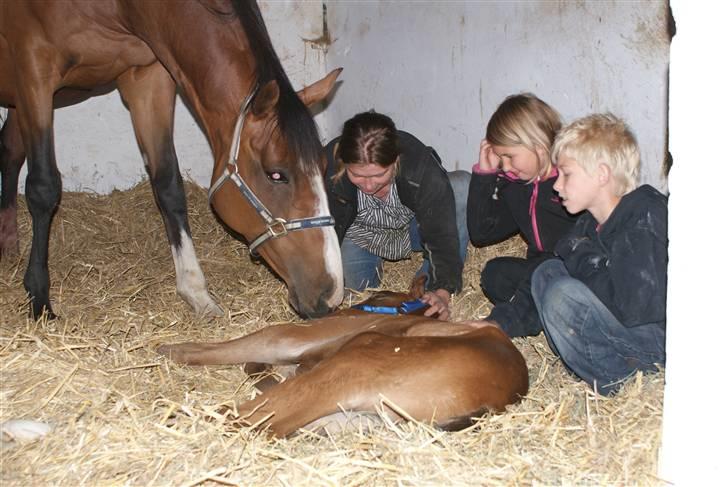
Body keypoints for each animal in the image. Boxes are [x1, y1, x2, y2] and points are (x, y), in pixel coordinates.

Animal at [0, 0, 342, 320]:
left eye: (324, 169)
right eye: (276, 174)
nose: (330, 293)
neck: (117, 9)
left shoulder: (148, 77)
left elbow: (168, 184)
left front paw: (196, 293)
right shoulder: (34, 71)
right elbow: (43, 187)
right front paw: (39, 299)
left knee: (9, 152)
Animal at [158, 278, 528, 438]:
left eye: (379, 294)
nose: (340, 310)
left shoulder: (296, 340)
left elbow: (254, 343)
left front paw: (173, 349)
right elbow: (256, 366)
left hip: (350, 368)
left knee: (254, 420)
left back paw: (178, 418)